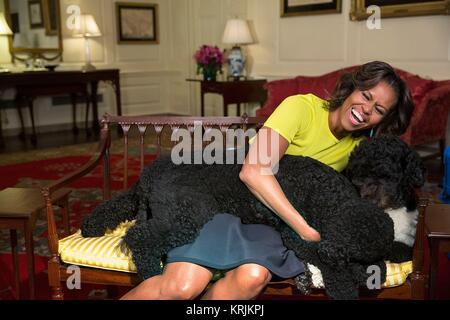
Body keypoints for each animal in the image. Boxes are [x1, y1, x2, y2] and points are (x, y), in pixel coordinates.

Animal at [80, 134, 426, 298]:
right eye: (354, 257)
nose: (373, 279)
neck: (328, 194)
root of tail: (152, 176)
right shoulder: (298, 235)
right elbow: (329, 264)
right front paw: (346, 287)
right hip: (189, 214)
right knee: (138, 237)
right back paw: (151, 273)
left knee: (122, 212)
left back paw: (90, 226)